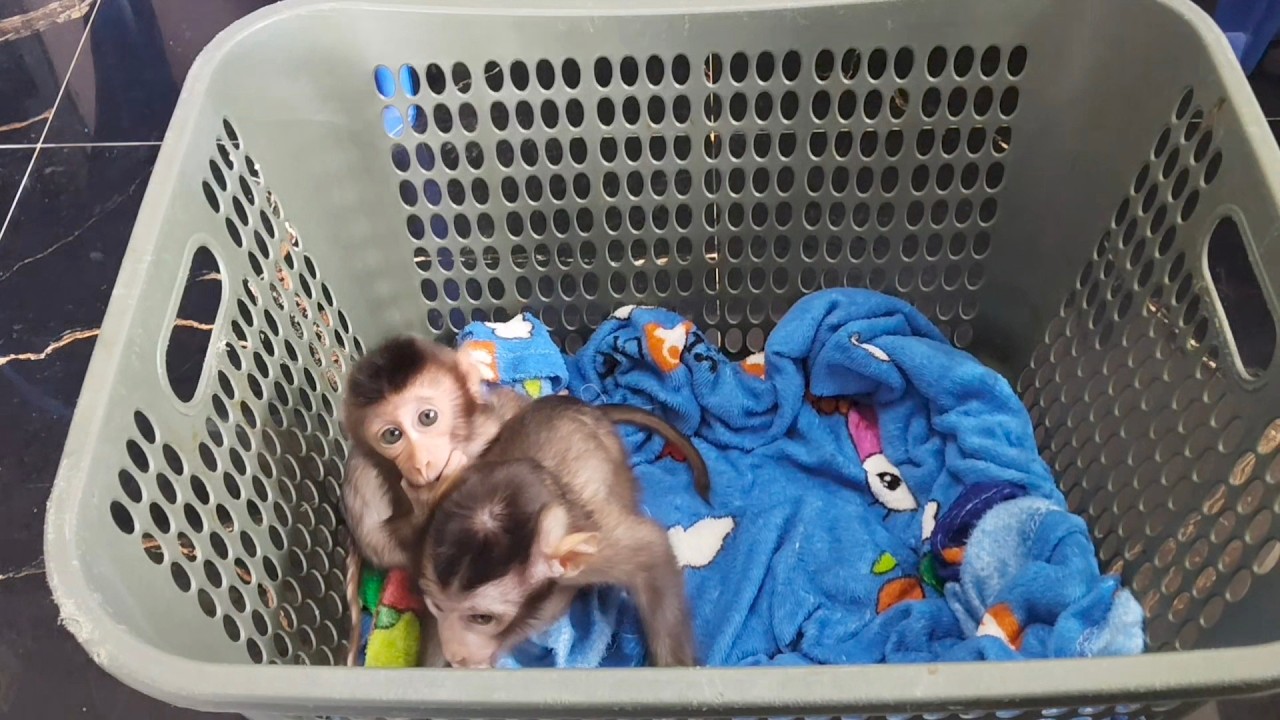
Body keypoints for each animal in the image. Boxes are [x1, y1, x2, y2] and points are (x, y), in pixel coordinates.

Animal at [417, 394, 711, 669]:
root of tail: (587, 406)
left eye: (481, 618)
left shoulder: (594, 554)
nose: (453, 654)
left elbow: (653, 552)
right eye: (437, 606)